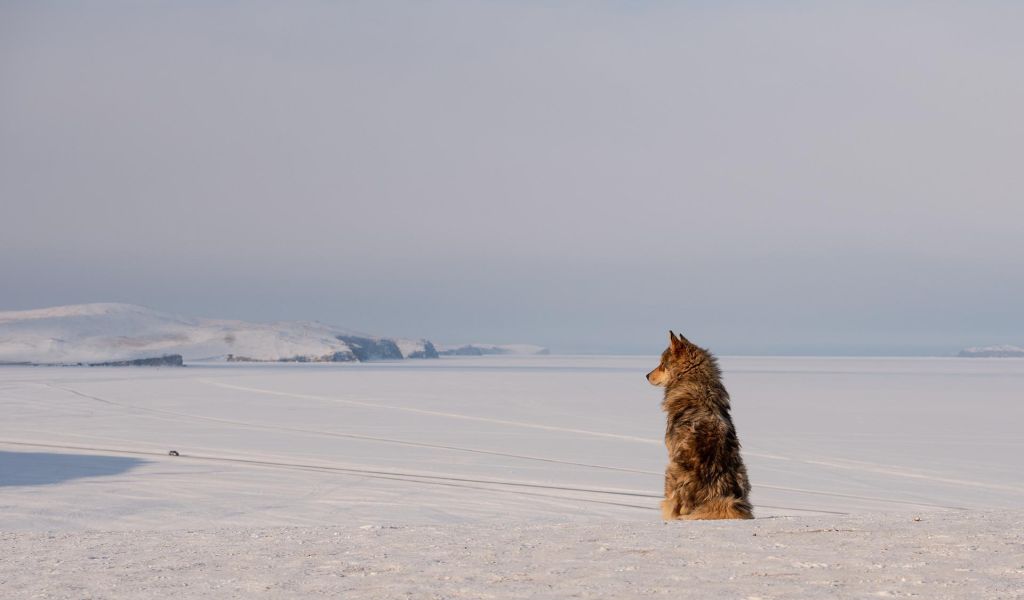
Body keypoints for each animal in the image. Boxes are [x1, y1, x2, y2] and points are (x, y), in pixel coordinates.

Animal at [647, 331, 753, 518]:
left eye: (662, 365)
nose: (646, 375)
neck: (697, 383)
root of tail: (713, 496)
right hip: (743, 477)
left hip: (670, 472)